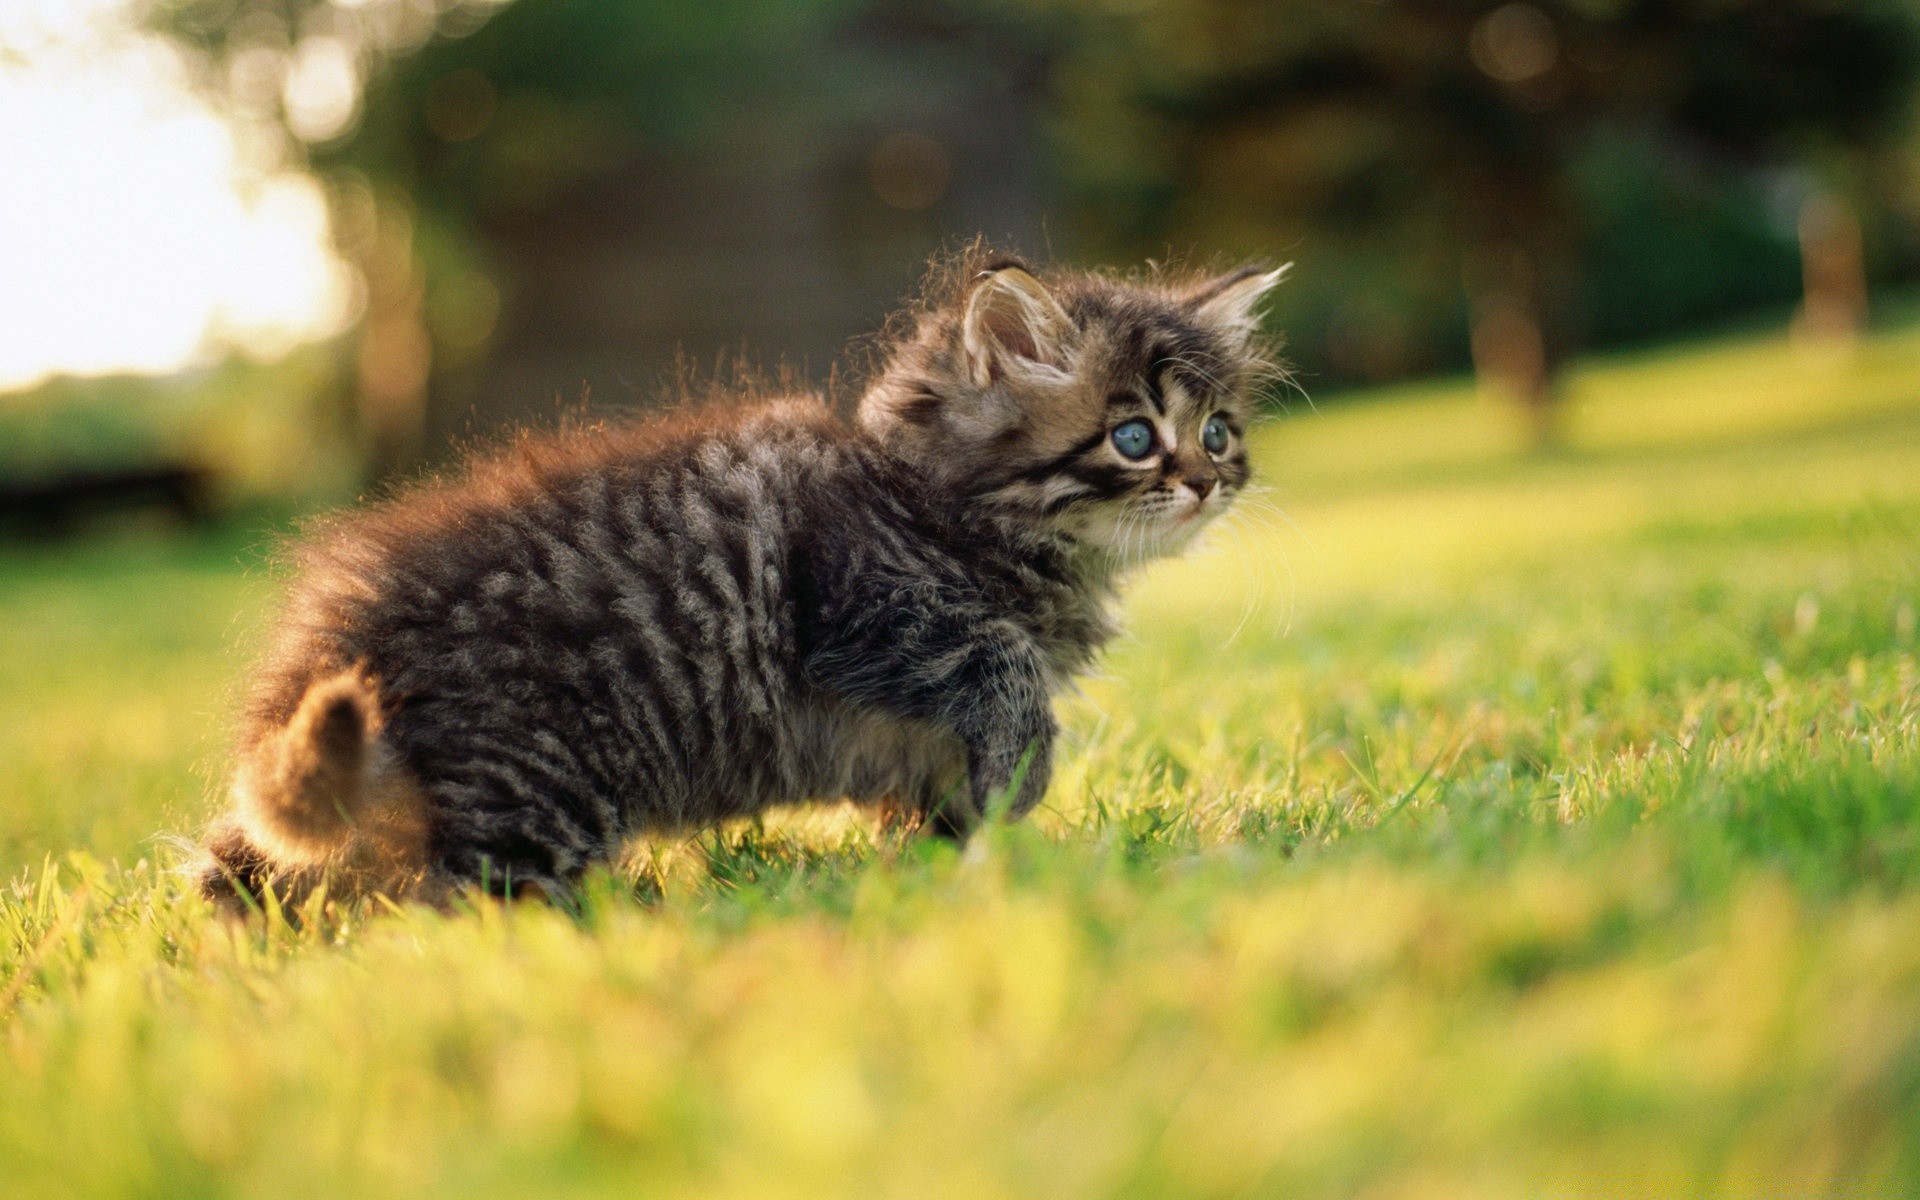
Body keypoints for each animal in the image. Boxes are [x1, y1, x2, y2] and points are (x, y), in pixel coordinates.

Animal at [198, 253, 1274, 906]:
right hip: (530, 790)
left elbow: (938, 811)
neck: (930, 503)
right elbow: (1000, 661)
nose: (1208, 480)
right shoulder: (856, 605)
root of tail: (328, 644)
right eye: (1135, 437)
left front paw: (957, 861)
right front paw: (1024, 777)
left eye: (1220, 429)